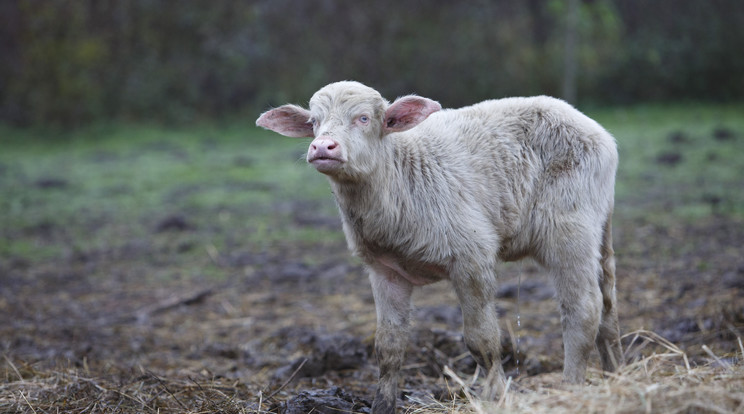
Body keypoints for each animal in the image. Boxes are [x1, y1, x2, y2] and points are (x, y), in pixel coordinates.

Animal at [256, 81, 620, 414]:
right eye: (313, 122)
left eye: (363, 118)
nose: (322, 146)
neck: (398, 178)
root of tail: (600, 134)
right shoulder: (385, 270)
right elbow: (388, 347)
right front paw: (382, 406)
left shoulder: (472, 256)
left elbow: (483, 341)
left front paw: (496, 398)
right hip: (599, 227)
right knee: (608, 305)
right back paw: (618, 373)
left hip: (568, 227)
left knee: (583, 310)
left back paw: (571, 389)